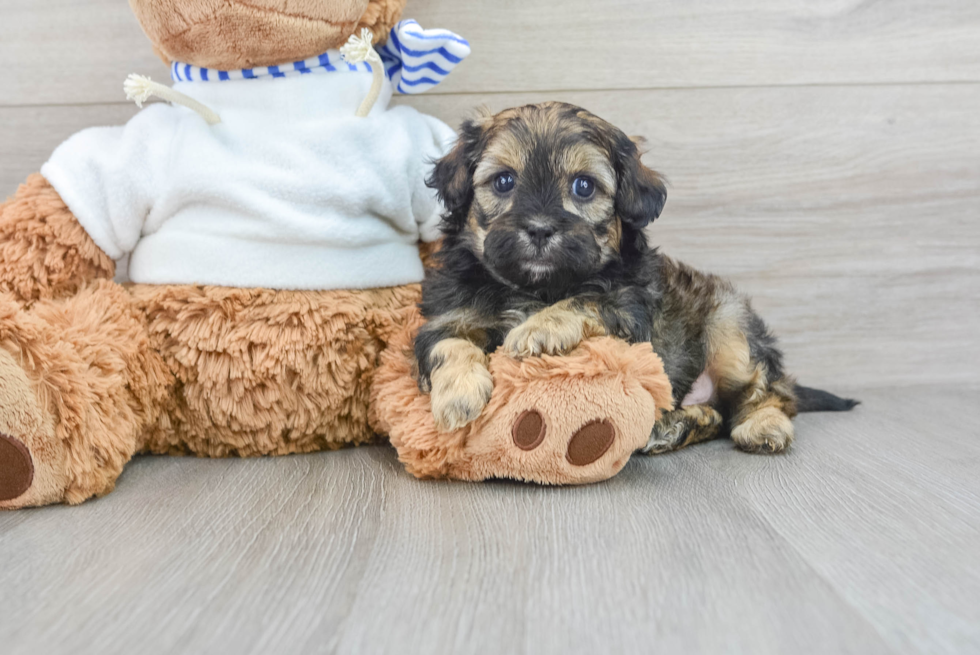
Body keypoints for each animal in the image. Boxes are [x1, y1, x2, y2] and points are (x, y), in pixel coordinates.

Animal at [410, 102, 852, 454]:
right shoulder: (447, 314)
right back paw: (672, 429)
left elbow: (584, 300)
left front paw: (539, 328)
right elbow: (447, 343)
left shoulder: (627, 307)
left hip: (731, 333)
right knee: (716, 416)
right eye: (504, 181)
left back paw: (764, 425)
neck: (536, 287)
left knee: (768, 392)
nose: (538, 229)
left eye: (583, 186)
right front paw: (458, 395)